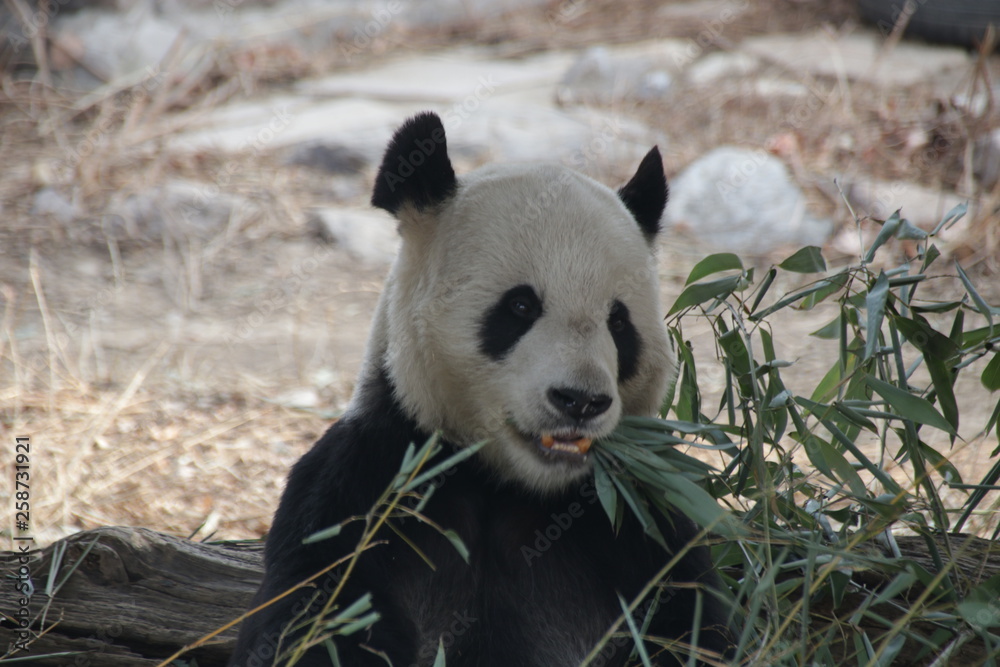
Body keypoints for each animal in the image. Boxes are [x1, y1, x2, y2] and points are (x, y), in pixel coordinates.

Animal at [230, 112, 732, 667]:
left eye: (618, 323)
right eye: (520, 307)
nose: (580, 400)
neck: (508, 482)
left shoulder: (633, 517)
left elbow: (692, 625)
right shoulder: (367, 485)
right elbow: (319, 618)